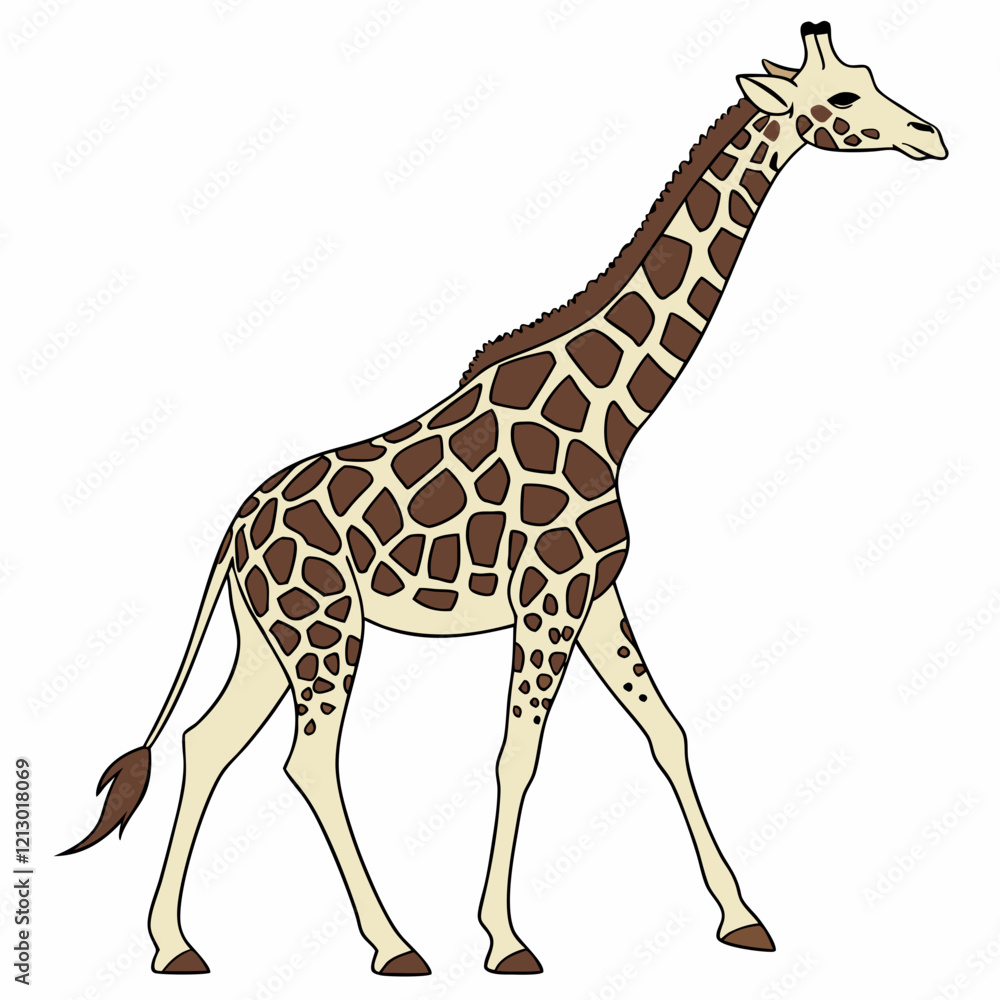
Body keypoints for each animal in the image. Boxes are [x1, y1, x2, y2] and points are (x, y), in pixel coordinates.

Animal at [61, 22, 947, 977]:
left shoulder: (596, 595)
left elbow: (666, 731)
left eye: (869, 75)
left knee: (206, 744)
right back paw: (392, 945)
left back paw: (174, 945)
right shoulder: (547, 600)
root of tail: (238, 525)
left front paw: (743, 919)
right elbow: (517, 757)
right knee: (307, 761)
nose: (931, 135)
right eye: (844, 98)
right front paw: (506, 939)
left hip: (270, 638)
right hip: (323, 629)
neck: (614, 416)